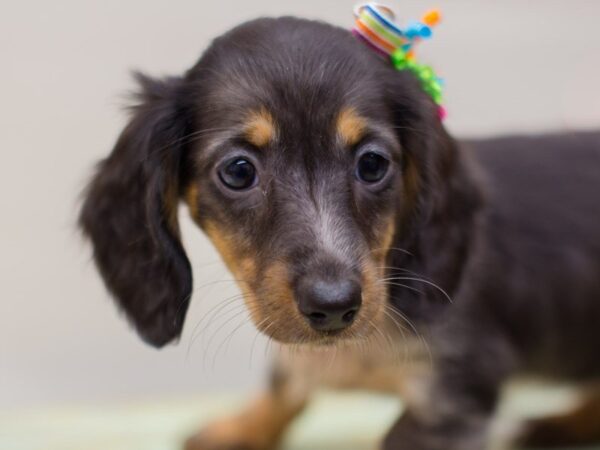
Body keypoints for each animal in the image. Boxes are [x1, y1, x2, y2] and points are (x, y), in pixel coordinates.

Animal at [79, 16, 600, 450]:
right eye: (239, 171)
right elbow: (285, 386)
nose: (333, 306)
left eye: (371, 164)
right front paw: (243, 428)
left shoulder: (456, 393)